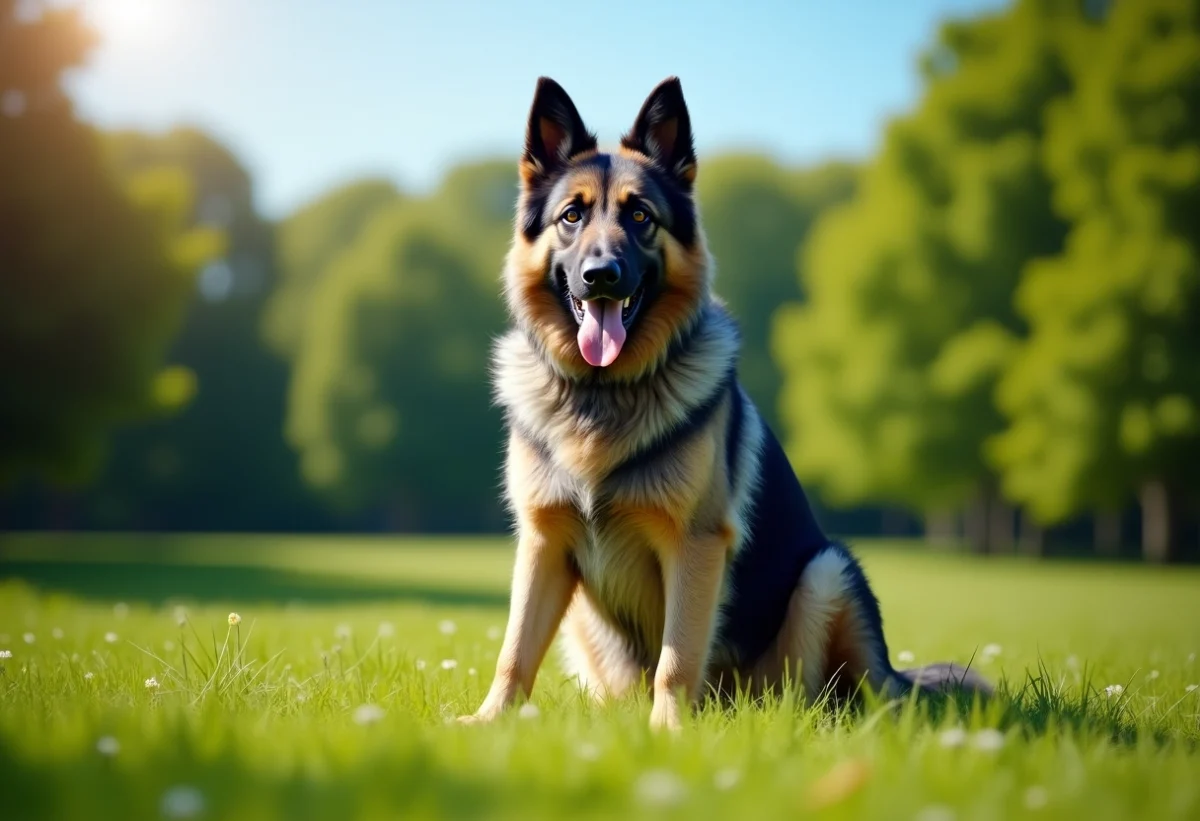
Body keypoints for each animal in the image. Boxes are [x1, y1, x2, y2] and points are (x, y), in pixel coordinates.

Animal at [460, 76, 993, 729]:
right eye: (572, 216)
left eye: (640, 216)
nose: (601, 275)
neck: (603, 392)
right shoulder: (543, 546)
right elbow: (513, 651)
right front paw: (488, 723)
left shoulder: (694, 544)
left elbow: (676, 657)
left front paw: (666, 733)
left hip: (826, 573)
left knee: (831, 698)